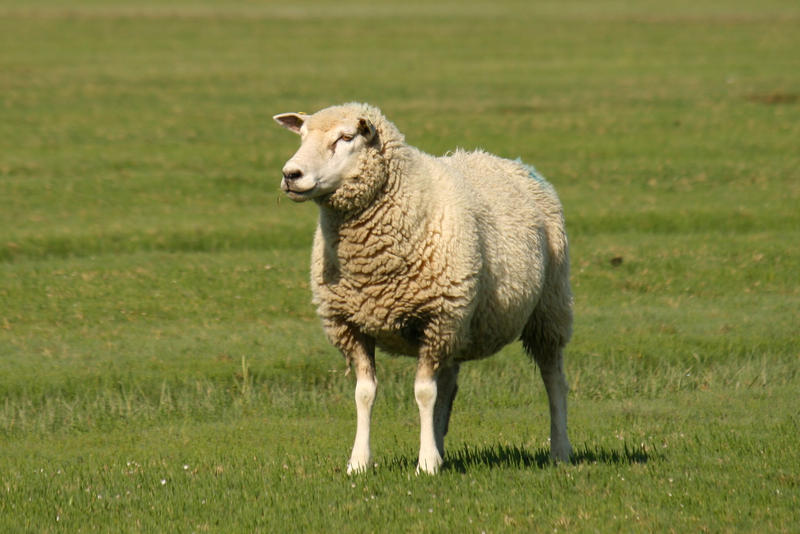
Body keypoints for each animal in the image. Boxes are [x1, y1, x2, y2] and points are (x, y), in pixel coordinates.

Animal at [273, 103, 573, 474]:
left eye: (346, 137)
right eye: (301, 135)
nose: (291, 174)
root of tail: (505, 160)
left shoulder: (436, 317)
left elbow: (423, 393)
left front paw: (426, 463)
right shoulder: (351, 325)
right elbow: (365, 393)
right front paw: (359, 462)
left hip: (548, 306)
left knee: (553, 379)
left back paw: (560, 450)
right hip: (461, 324)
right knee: (448, 385)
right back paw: (441, 446)